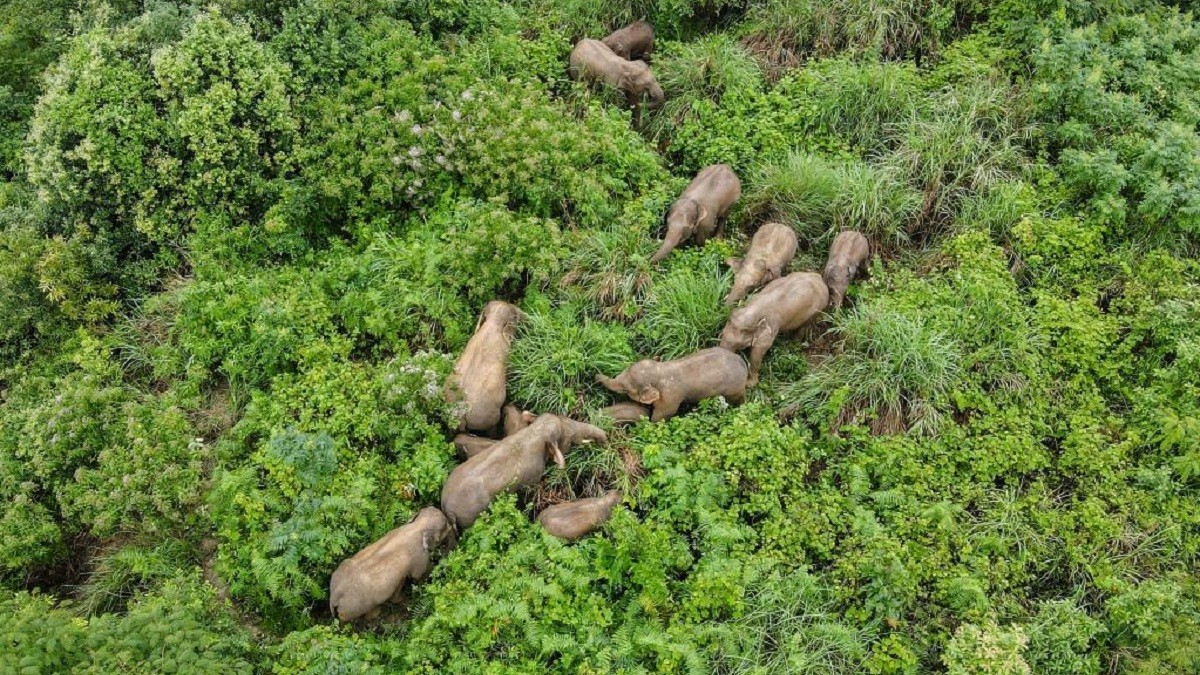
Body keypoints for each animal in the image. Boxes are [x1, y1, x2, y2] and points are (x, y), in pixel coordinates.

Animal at [595, 345, 744, 420]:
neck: (661, 370)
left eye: (626, 389)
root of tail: (742, 361)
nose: (595, 375)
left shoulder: (669, 398)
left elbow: (661, 416)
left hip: (735, 388)